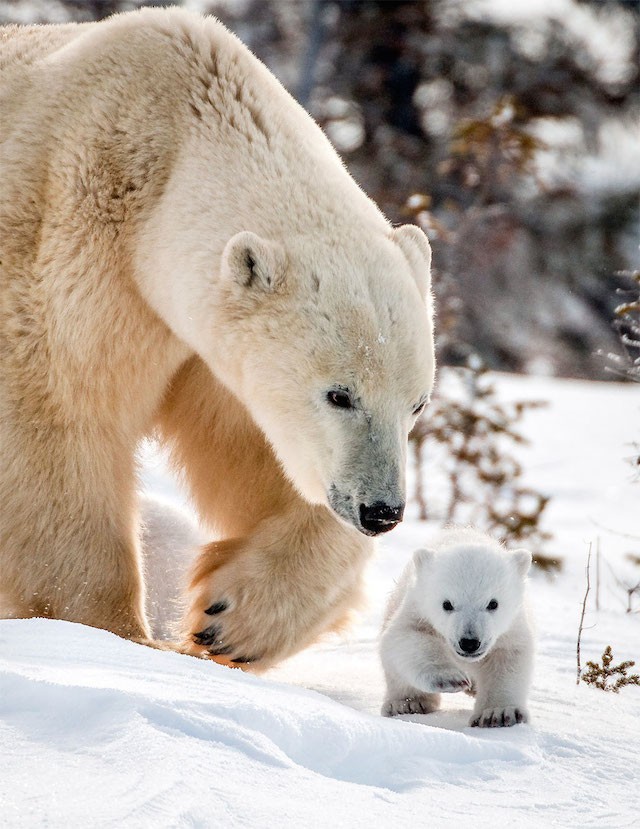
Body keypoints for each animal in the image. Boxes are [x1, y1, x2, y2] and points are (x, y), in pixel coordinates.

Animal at [0, 6, 436, 668]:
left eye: (417, 403)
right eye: (339, 394)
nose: (381, 510)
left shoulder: (204, 343)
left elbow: (254, 450)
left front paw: (230, 618)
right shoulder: (72, 246)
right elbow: (61, 417)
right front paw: (114, 635)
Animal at [380, 532, 536, 724]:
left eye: (493, 603)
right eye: (447, 604)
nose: (469, 642)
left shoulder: (511, 628)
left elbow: (508, 658)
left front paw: (498, 713)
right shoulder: (417, 609)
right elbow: (407, 636)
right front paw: (450, 678)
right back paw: (407, 704)